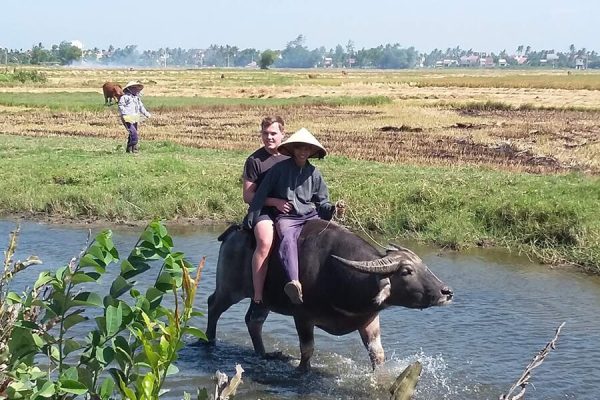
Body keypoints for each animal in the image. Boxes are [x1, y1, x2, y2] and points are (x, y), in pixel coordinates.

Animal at [204, 219, 452, 372]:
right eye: (406, 271)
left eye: (423, 265)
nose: (446, 292)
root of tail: (233, 233)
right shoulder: (302, 317)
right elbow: (307, 350)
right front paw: (303, 371)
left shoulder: (369, 320)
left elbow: (377, 354)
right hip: (229, 289)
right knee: (213, 305)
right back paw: (209, 341)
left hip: (262, 299)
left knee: (253, 321)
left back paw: (264, 354)